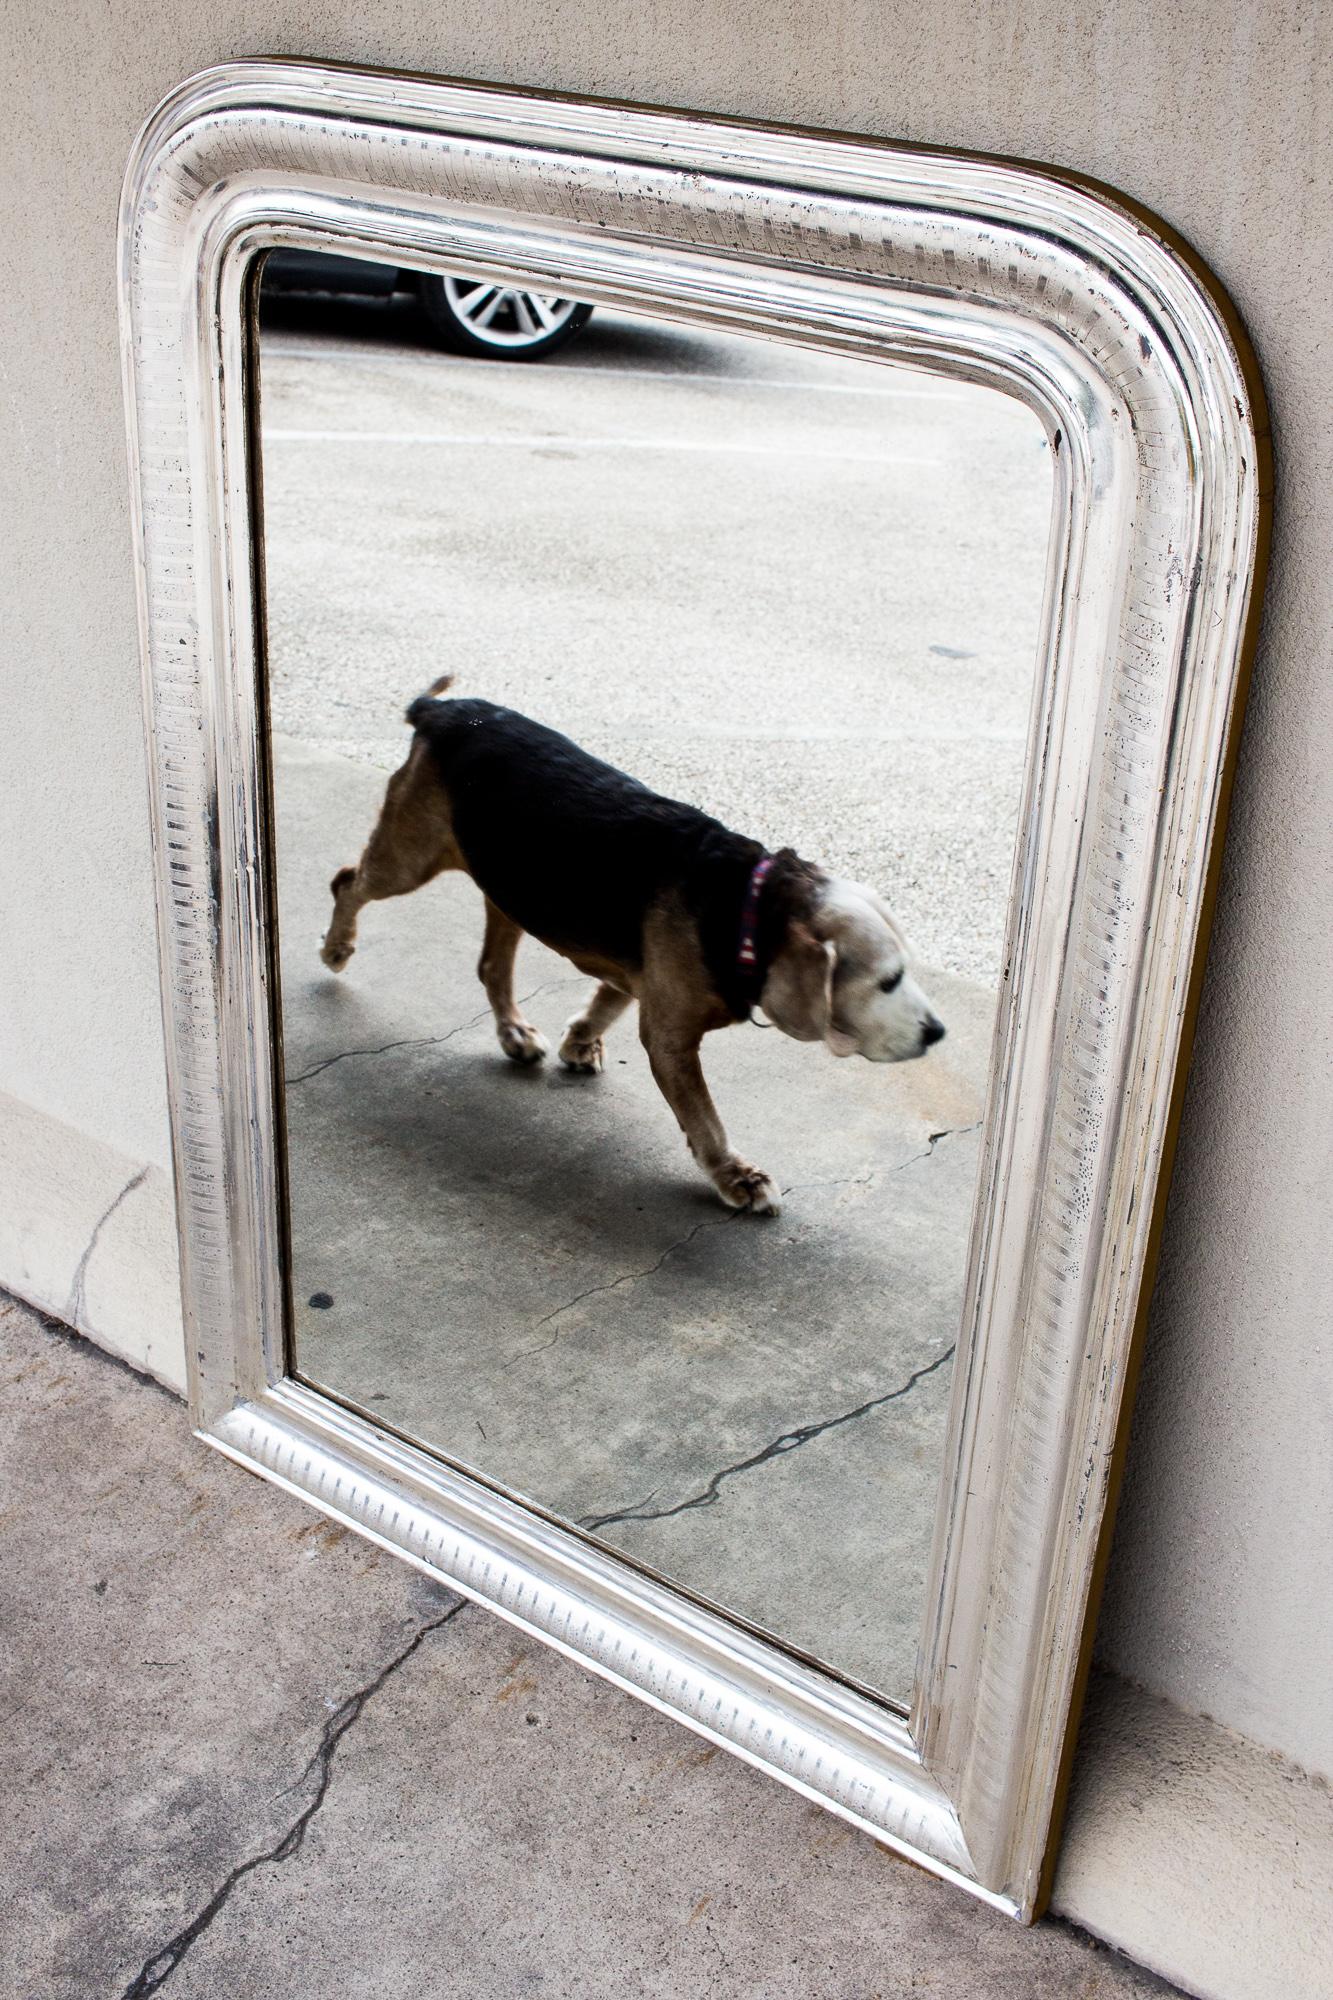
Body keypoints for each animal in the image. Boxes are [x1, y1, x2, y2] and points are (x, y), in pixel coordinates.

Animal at [322, 676, 944, 1216]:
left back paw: (514, 1032)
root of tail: (442, 711)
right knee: (348, 883)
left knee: (492, 966)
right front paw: (736, 1175)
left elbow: (607, 1001)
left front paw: (580, 1042)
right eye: (888, 980)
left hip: (508, 888)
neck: (746, 906)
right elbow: (705, 1119)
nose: (938, 1032)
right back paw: (336, 947)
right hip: (409, 860)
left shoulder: (639, 977)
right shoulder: (672, 1040)